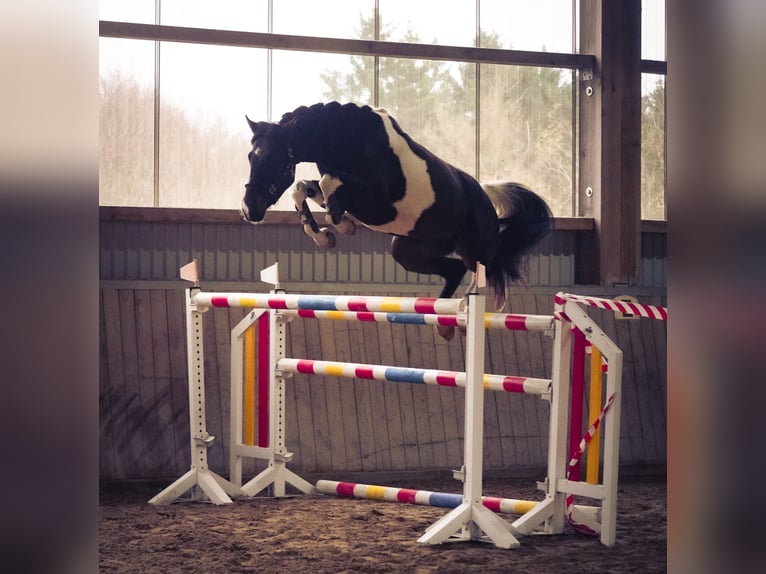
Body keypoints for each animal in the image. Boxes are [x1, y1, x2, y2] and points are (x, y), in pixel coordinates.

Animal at [240, 102, 552, 339]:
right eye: (250, 157)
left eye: (273, 158)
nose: (248, 209)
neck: (347, 139)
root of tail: (486, 201)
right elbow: (304, 187)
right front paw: (327, 234)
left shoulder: (379, 201)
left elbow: (330, 182)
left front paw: (338, 223)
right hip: (407, 251)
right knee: (453, 270)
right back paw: (444, 324)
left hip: (472, 249)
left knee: (481, 273)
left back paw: (463, 310)